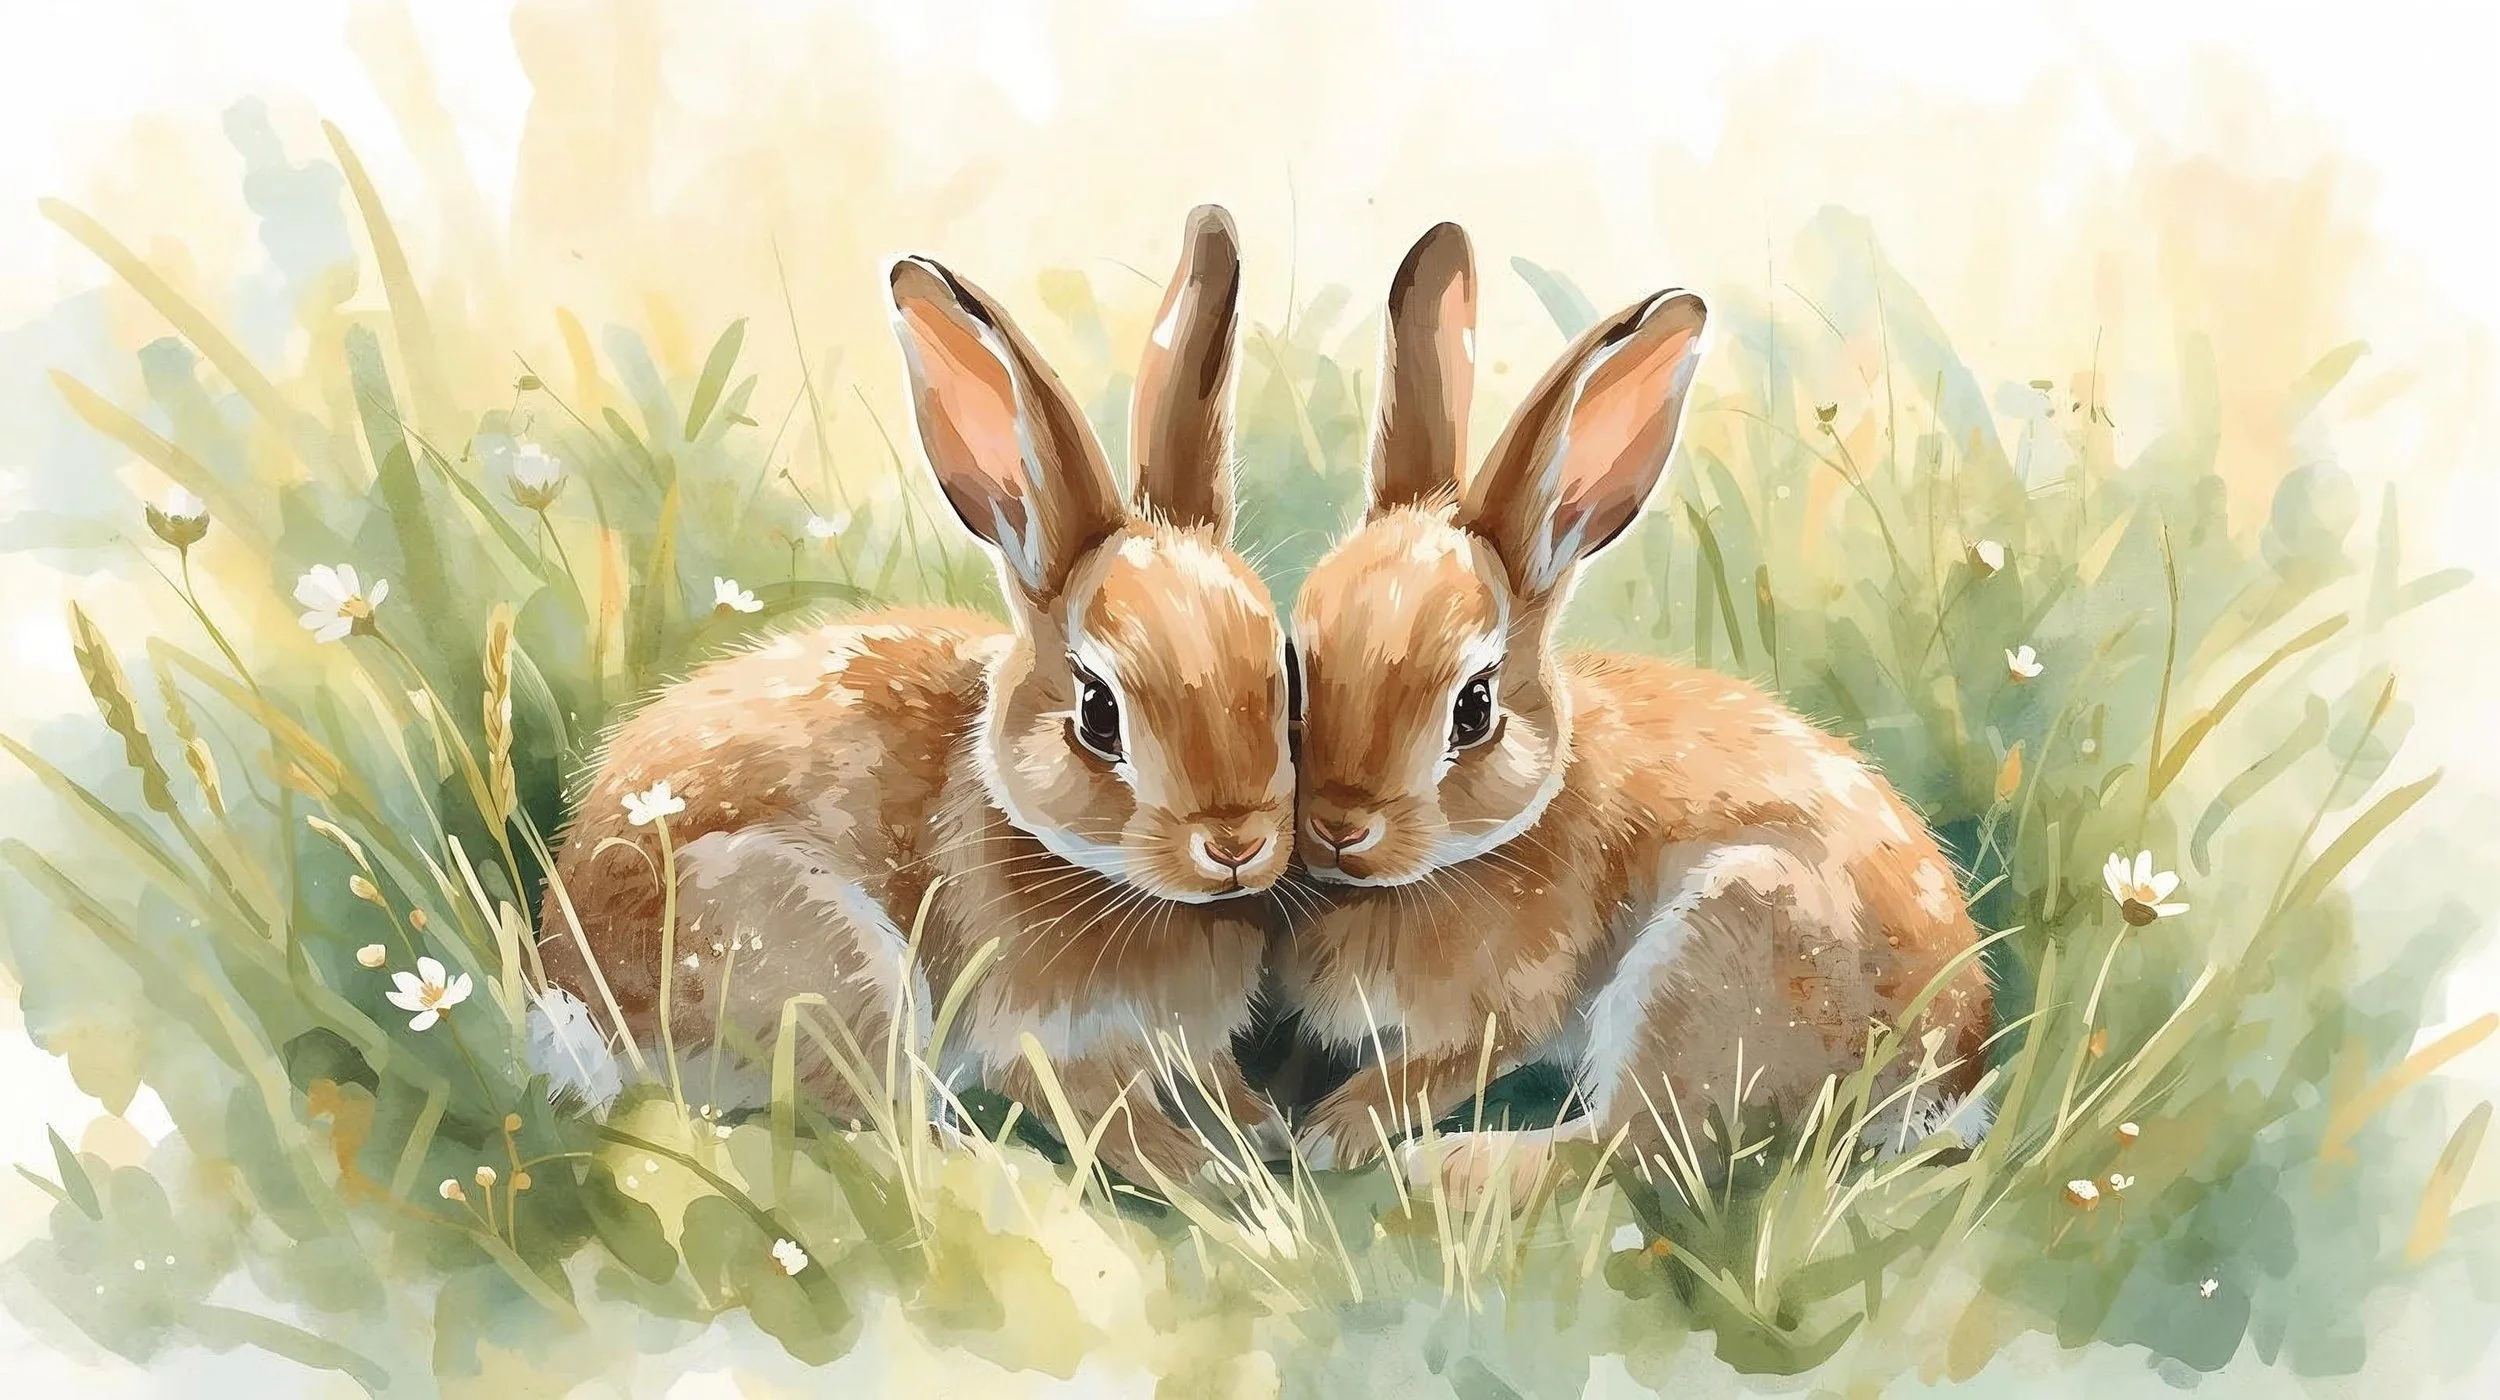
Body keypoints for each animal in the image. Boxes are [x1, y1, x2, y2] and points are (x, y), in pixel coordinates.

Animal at [534, 206, 1296, 1185]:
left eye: (1283, 671)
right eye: (1098, 712)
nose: (1236, 841)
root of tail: (578, 1006)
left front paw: (1262, 1130)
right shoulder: (1043, 1042)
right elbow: (1108, 1116)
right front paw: (1211, 1174)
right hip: (828, 956)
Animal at [1274, 223, 1994, 1188]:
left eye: (1473, 708)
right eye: (1295, 665)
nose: (1338, 825)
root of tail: (1945, 1081)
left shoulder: (1512, 1006)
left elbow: (1447, 1063)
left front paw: (1335, 1130)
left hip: (1719, 947)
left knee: (1630, 1146)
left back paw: (1451, 1166)